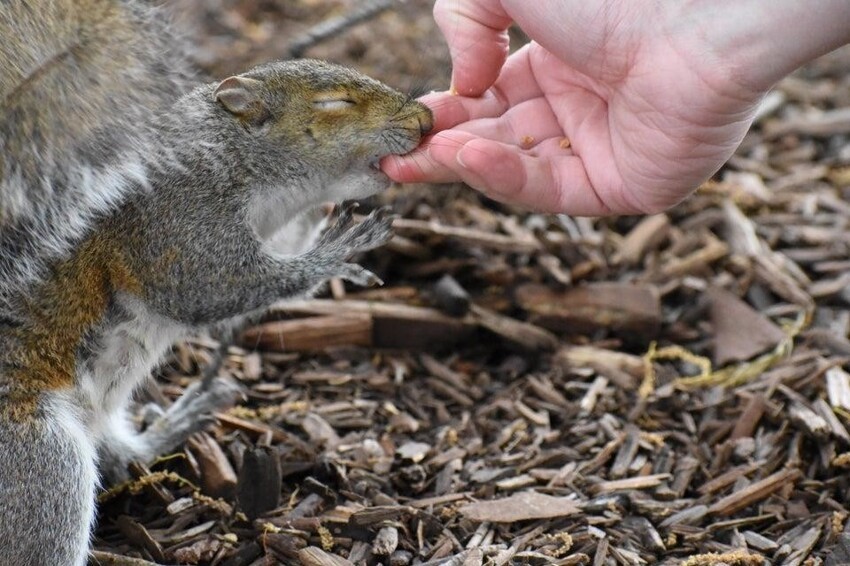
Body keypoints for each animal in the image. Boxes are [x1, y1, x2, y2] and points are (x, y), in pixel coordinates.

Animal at [1, 0, 430, 564]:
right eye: (335, 102)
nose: (426, 120)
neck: (241, 161)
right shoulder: (173, 215)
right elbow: (213, 284)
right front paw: (337, 250)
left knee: (116, 455)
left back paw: (172, 426)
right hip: (39, 461)